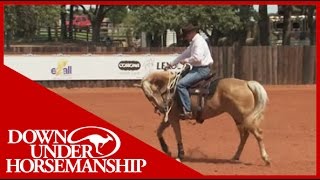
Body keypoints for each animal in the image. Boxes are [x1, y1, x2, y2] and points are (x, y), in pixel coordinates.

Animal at [139, 66, 270, 166]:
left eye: (151, 94)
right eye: (148, 96)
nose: (163, 108)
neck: (171, 88)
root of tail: (246, 83)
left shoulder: (173, 118)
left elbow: (178, 135)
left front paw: (180, 155)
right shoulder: (169, 118)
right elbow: (159, 131)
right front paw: (166, 150)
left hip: (245, 117)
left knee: (258, 134)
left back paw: (266, 159)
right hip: (238, 118)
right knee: (244, 135)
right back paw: (235, 156)